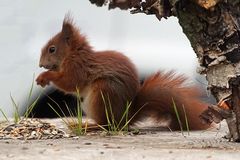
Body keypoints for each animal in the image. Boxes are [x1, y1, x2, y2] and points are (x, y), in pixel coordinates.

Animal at [35, 14, 210, 130]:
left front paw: (44, 77)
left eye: (52, 49)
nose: (40, 64)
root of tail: (126, 118)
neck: (73, 54)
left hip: (103, 93)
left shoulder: (78, 67)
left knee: (107, 124)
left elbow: (70, 83)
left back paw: (88, 126)